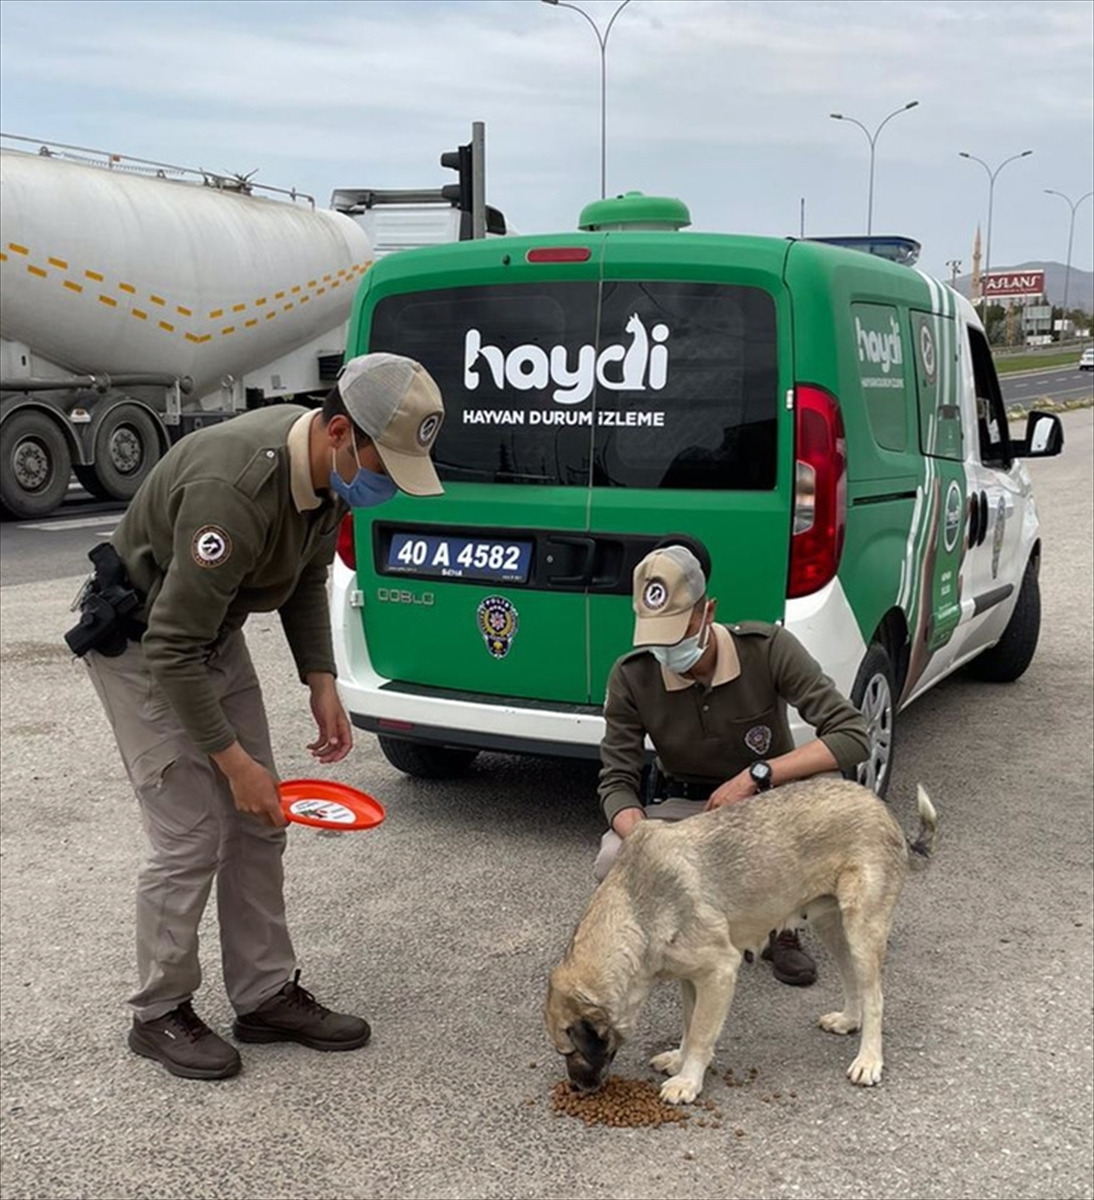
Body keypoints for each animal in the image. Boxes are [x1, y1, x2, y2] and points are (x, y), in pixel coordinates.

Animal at [542, 777, 935, 1104]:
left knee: (875, 997)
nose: (576, 1088)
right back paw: (848, 1021)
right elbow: (689, 1024)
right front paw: (680, 1060)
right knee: (852, 978)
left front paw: (688, 1081)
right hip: (833, 927)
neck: (637, 909)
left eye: (569, 1052)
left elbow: (701, 1033)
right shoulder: (691, 978)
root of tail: (879, 806)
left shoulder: (719, 971)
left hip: (862, 930)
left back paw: (869, 1060)